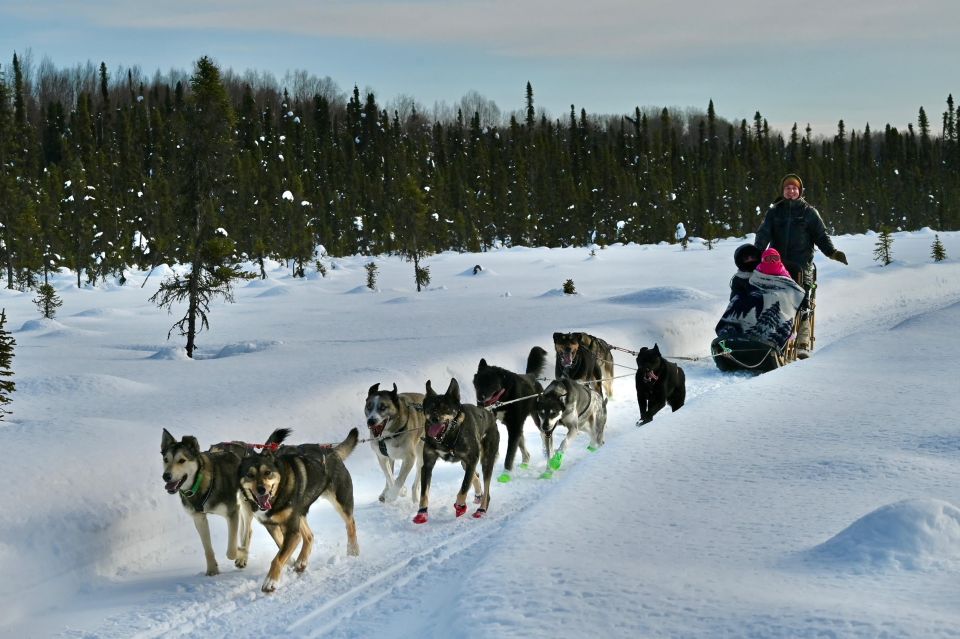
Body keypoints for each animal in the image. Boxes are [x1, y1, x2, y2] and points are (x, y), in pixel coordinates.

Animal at [239, 428, 360, 592]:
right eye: (250, 475)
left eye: (267, 472)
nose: (261, 489)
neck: (277, 495)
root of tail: (331, 450)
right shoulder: (272, 526)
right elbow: (281, 547)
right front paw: (291, 561)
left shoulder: (292, 530)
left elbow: (278, 558)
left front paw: (270, 581)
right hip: (299, 513)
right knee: (309, 536)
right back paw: (301, 562)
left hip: (340, 501)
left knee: (350, 524)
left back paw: (353, 550)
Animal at [412, 380, 498, 524]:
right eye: (430, 408)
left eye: (445, 408)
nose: (434, 418)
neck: (448, 438)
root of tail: (489, 414)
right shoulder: (428, 465)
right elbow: (424, 493)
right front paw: (422, 513)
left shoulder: (472, 459)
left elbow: (464, 486)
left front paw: (460, 506)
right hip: (465, 463)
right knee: (475, 476)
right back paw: (478, 495)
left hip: (486, 460)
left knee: (486, 487)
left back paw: (481, 509)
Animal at [472, 348, 548, 482]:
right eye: (478, 382)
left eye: (490, 384)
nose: (480, 399)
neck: (502, 398)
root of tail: (531, 376)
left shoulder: (514, 427)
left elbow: (509, 455)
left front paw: (505, 474)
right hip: (517, 427)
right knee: (523, 446)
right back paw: (525, 461)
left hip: (536, 418)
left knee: (544, 435)